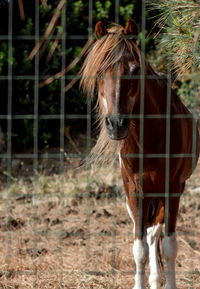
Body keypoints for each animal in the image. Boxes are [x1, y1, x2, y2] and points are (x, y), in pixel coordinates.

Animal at [80, 19, 200, 288]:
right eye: (100, 72)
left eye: (134, 71)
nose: (116, 124)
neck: (152, 138)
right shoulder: (134, 191)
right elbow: (139, 248)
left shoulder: (172, 189)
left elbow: (169, 245)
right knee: (147, 233)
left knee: (155, 234)